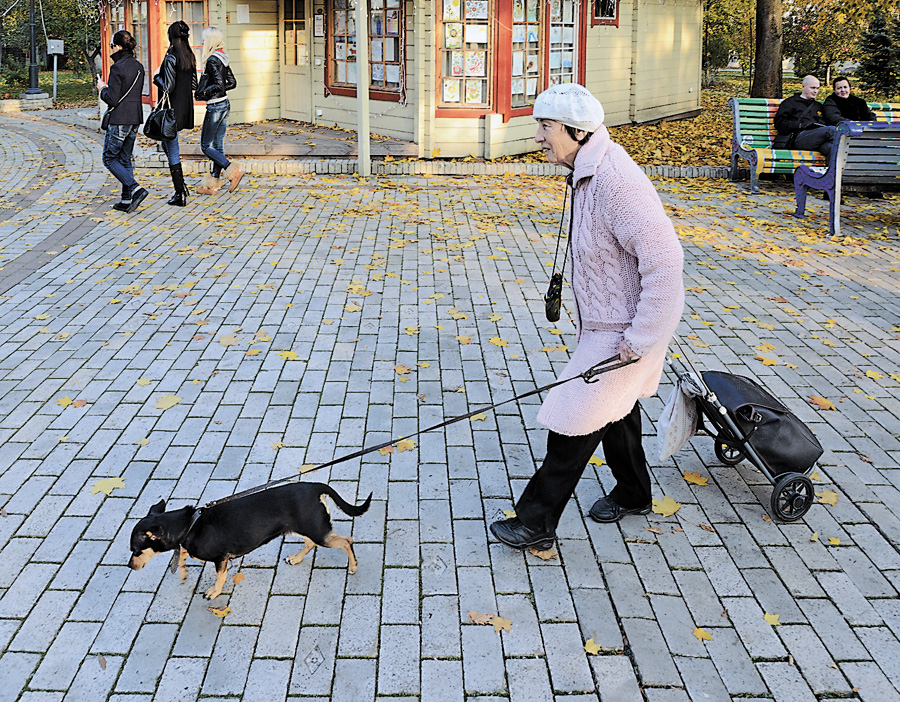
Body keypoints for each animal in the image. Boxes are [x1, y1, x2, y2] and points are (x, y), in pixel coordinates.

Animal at [127, 484, 372, 600]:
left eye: (135, 551)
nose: (129, 566)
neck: (189, 524)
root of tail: (316, 486)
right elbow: (183, 555)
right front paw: (183, 571)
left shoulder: (221, 558)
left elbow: (219, 577)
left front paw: (213, 592)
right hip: (302, 528)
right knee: (310, 543)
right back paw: (296, 558)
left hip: (319, 532)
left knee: (346, 541)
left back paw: (353, 566)